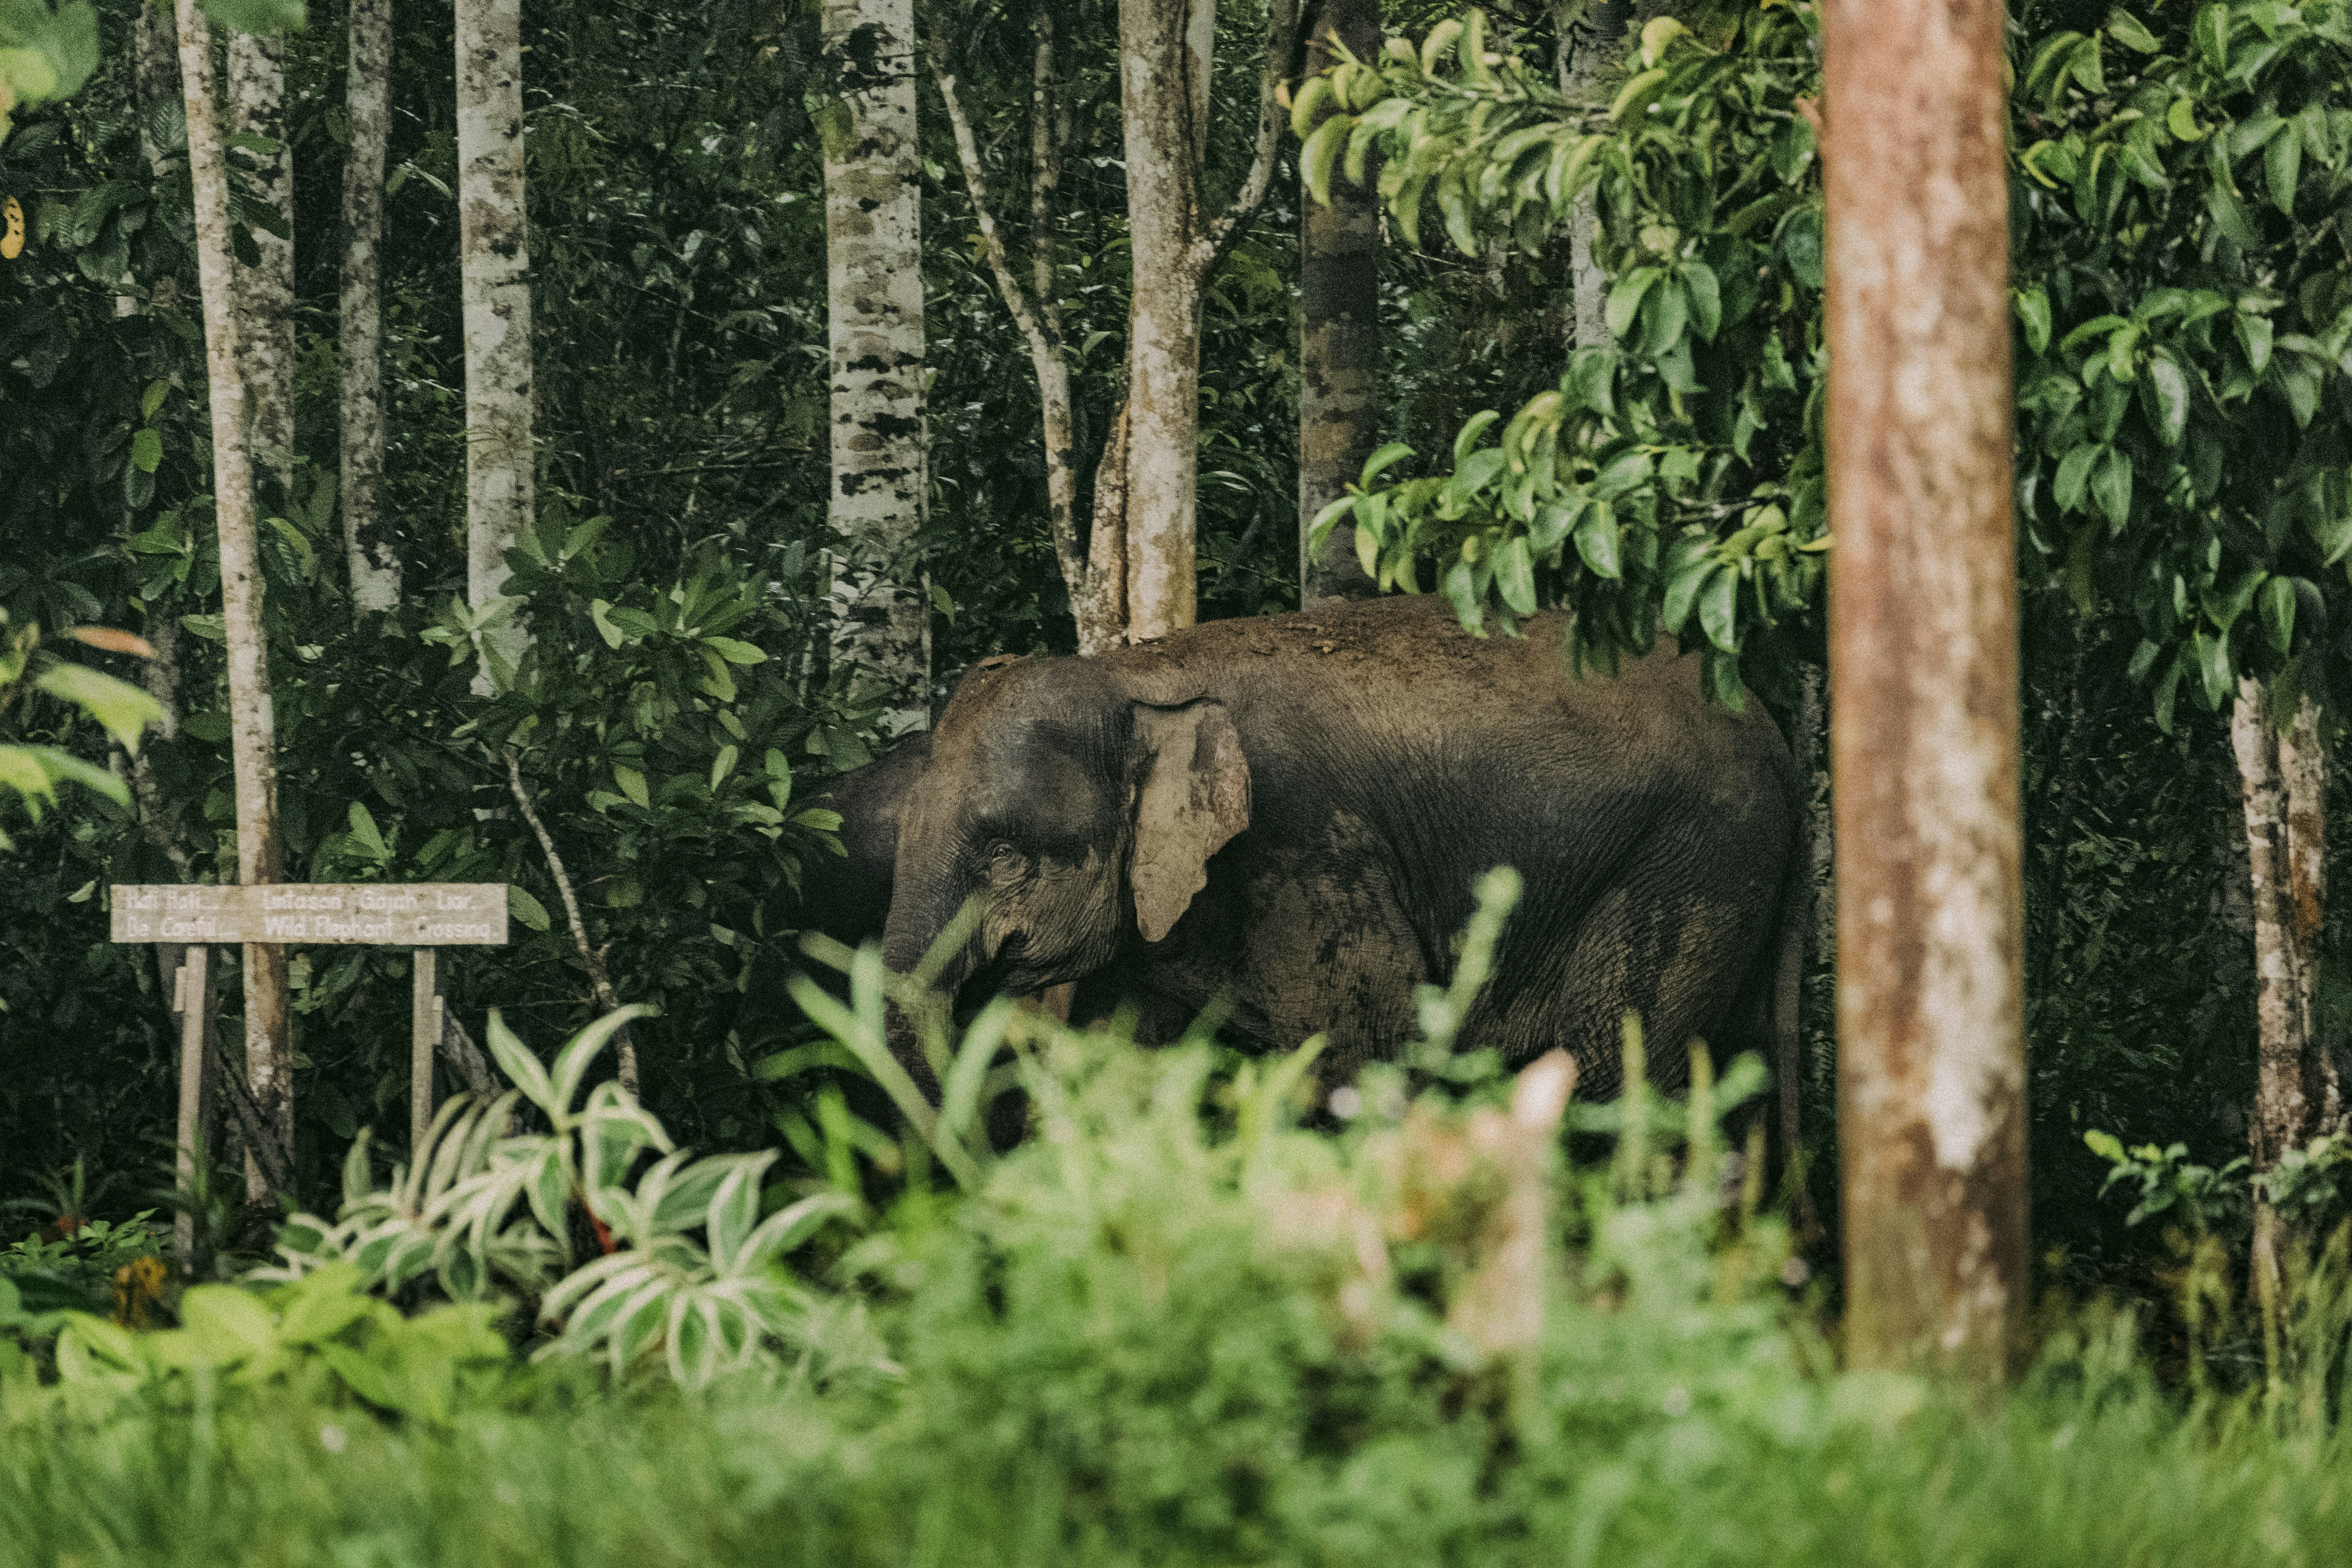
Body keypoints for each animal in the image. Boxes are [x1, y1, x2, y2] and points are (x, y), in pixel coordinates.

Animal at [880, 594, 1806, 1097]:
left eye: (1003, 856)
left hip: (1694, 860)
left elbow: (1365, 1055)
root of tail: (1775, 733)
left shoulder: (1308, 850)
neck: (1137, 676)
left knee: (1617, 1071)